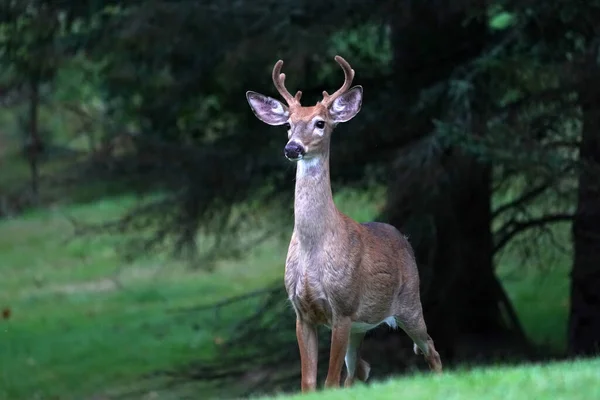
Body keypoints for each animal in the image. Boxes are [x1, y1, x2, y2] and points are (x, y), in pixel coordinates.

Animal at [246, 54, 442, 392]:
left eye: (320, 123)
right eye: (288, 124)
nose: (292, 148)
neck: (314, 249)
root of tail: (402, 237)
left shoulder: (343, 307)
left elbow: (329, 381)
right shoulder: (302, 313)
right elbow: (309, 382)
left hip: (409, 303)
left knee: (431, 347)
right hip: (361, 328)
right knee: (358, 370)